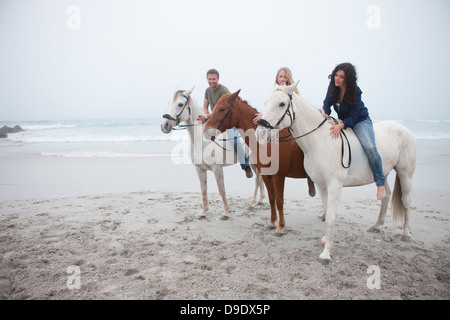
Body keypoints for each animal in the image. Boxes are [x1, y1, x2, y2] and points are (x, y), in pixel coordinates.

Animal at [161, 87, 264, 219]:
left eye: (179, 104)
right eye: (169, 103)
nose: (164, 125)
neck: (201, 140)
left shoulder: (217, 169)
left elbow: (221, 190)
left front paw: (225, 212)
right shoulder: (199, 169)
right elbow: (203, 189)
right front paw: (203, 212)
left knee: (258, 179)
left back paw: (253, 203)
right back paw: (260, 200)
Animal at [205, 90, 316, 235]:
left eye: (222, 109)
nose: (206, 131)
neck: (267, 143)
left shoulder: (278, 177)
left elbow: (279, 201)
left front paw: (280, 227)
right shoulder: (266, 175)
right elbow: (272, 199)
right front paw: (272, 223)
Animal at [255, 82, 416, 262]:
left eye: (282, 104)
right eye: (266, 103)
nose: (260, 133)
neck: (320, 140)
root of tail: (403, 129)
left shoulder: (334, 186)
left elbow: (330, 218)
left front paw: (326, 254)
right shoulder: (320, 185)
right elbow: (326, 212)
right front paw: (326, 241)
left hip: (405, 174)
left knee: (406, 201)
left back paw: (406, 234)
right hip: (383, 173)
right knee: (386, 195)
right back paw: (377, 225)